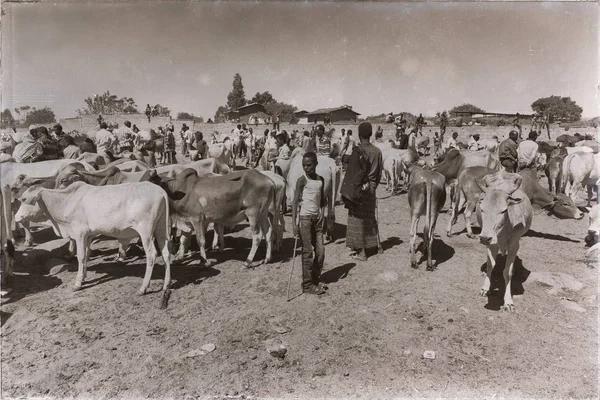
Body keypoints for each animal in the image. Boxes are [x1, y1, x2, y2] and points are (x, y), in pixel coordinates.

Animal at [14, 182, 172, 294]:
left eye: (24, 199)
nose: (16, 216)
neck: (66, 201)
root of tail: (159, 190)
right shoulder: (88, 236)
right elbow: (87, 255)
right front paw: (83, 277)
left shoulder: (80, 233)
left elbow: (81, 256)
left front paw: (77, 284)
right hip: (161, 229)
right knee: (166, 253)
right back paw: (166, 284)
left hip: (145, 232)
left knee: (151, 255)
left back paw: (143, 288)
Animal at [476, 172, 532, 312]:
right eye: (482, 209)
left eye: (504, 210)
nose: (484, 238)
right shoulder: (492, 242)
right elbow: (491, 264)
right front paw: (485, 288)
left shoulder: (514, 244)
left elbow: (507, 271)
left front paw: (508, 302)